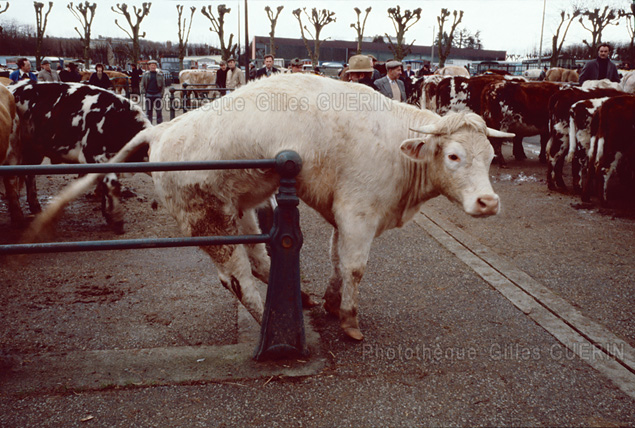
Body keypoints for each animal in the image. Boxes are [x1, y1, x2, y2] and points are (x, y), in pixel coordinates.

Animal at [9, 80, 152, 234]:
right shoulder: (93, 156)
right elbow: (111, 184)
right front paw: (117, 219)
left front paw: (108, 214)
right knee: (12, 180)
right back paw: (18, 219)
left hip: (34, 151)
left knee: (29, 175)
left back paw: (35, 207)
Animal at [27, 72, 516, 342]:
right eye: (453, 156)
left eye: (491, 157)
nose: (488, 201)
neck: (396, 146)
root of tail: (163, 129)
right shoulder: (358, 213)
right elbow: (354, 266)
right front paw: (349, 320)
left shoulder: (341, 215)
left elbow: (336, 261)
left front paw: (332, 302)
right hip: (211, 222)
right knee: (237, 279)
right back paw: (270, 325)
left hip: (242, 208)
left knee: (261, 260)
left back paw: (300, 298)